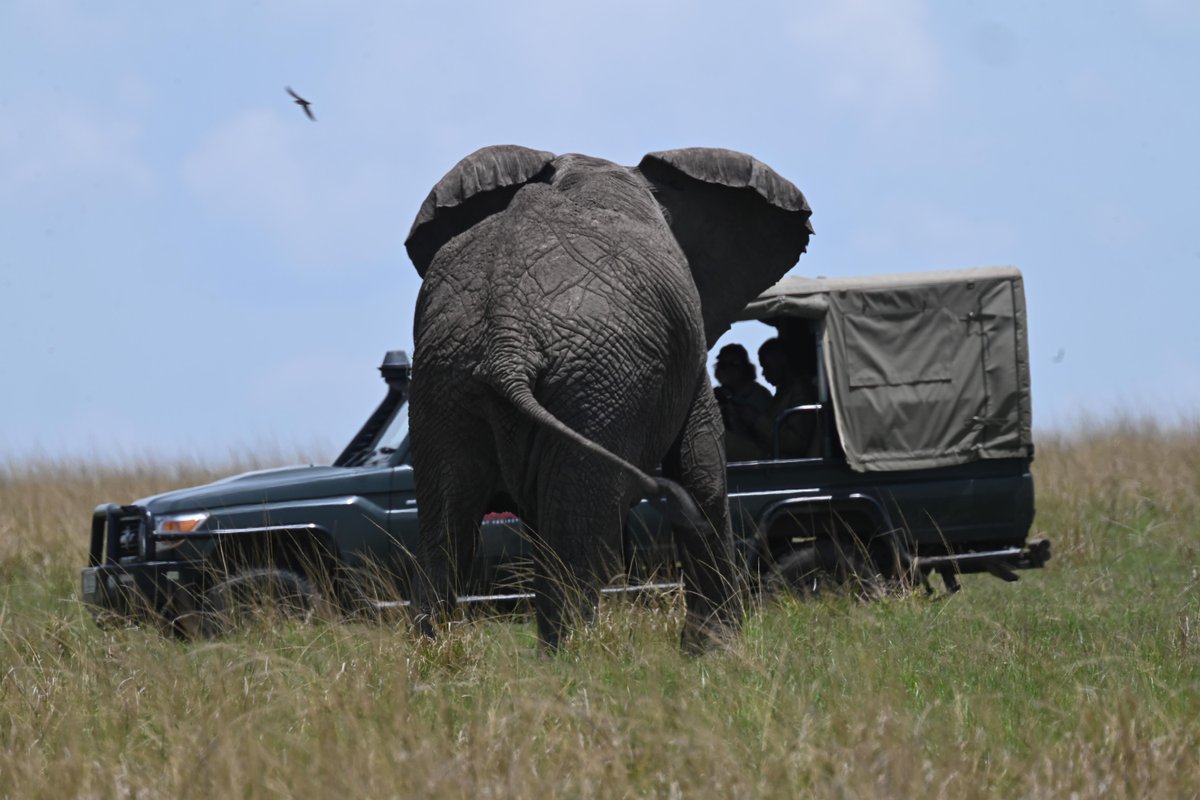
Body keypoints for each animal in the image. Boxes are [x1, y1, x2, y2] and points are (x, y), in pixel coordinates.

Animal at [403, 145, 812, 650]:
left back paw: (437, 661)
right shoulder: (687, 346)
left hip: (445, 380)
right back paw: (580, 661)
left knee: (447, 537)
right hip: (598, 384)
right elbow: (701, 470)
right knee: (577, 541)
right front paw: (717, 653)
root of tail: (507, 336)